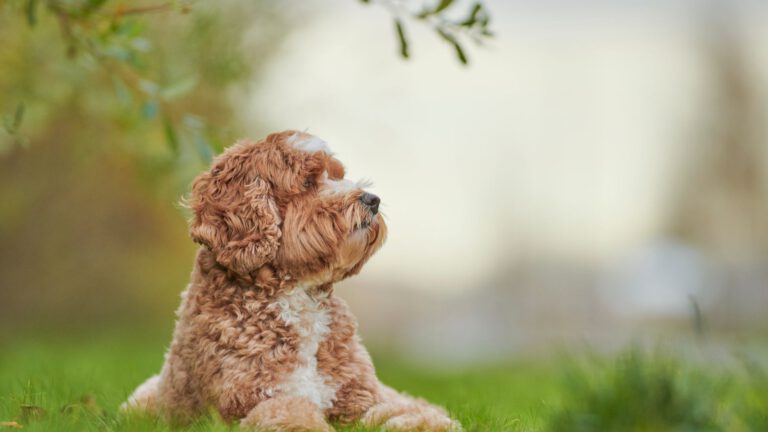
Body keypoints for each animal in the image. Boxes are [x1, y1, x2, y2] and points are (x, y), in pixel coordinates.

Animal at [122, 132, 460, 432]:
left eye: (338, 175)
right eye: (308, 182)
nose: (372, 199)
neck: (298, 294)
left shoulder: (359, 396)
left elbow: (394, 409)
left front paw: (429, 423)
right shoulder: (249, 400)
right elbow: (289, 411)